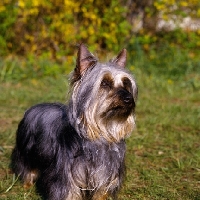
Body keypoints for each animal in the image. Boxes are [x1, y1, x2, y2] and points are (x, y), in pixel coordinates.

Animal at [11, 44, 138, 200]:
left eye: (126, 84)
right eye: (105, 83)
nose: (128, 99)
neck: (101, 133)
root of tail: (34, 107)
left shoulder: (106, 174)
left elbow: (102, 191)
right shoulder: (66, 175)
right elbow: (68, 191)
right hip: (26, 149)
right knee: (27, 167)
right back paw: (27, 184)